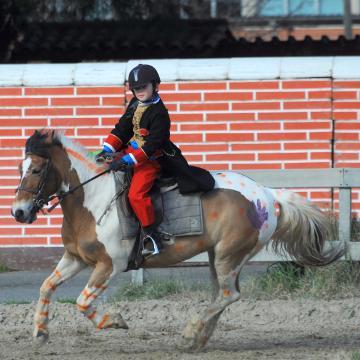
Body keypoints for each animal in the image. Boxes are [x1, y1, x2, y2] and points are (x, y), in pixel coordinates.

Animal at [11, 130, 344, 352]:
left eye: (37, 169)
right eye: (20, 169)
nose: (19, 212)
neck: (92, 200)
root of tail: (267, 194)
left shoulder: (109, 265)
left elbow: (82, 301)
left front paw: (116, 321)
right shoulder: (76, 258)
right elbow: (46, 287)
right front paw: (40, 332)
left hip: (229, 255)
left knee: (229, 295)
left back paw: (190, 333)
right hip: (217, 257)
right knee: (222, 295)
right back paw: (199, 339)